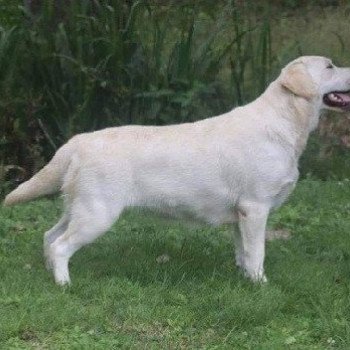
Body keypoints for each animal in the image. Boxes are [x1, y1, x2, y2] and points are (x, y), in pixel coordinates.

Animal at [4, 55, 350, 284]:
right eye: (330, 66)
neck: (284, 121)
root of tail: (77, 142)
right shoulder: (255, 208)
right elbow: (258, 252)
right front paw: (260, 285)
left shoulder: (241, 214)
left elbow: (243, 252)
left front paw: (244, 279)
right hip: (97, 214)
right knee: (61, 246)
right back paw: (65, 284)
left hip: (79, 207)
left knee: (49, 237)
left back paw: (50, 274)